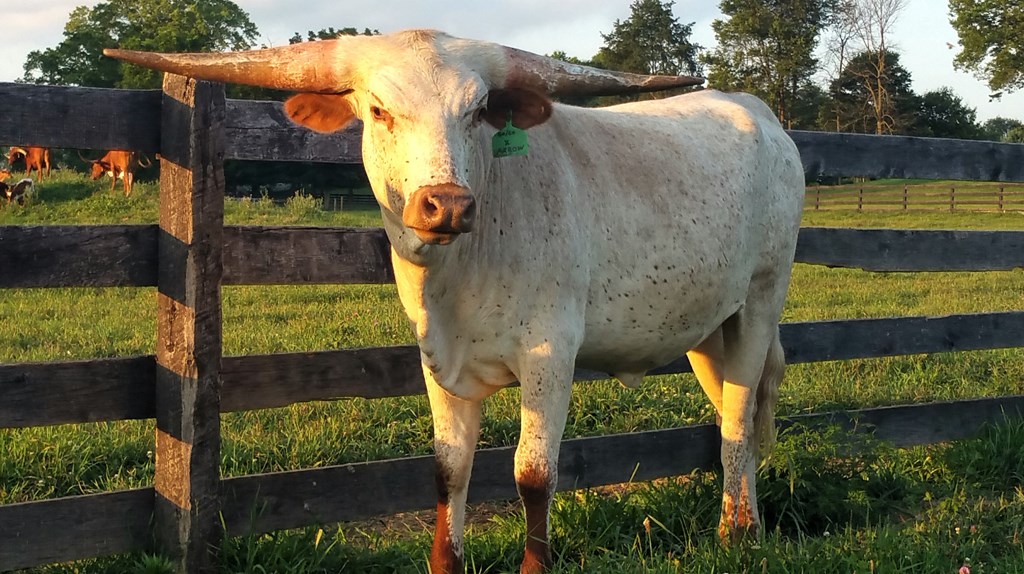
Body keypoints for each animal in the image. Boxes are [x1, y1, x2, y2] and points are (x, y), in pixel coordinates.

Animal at [105, 30, 804, 573]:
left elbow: (533, 473)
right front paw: (446, 561)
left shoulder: (552, 355)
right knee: (731, 410)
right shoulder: (438, 360)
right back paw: (745, 513)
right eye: (379, 110)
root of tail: (761, 115)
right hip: (709, 327)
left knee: (742, 413)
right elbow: (449, 468)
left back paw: (738, 531)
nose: (446, 204)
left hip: (761, 302)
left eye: (476, 113)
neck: (458, 278)